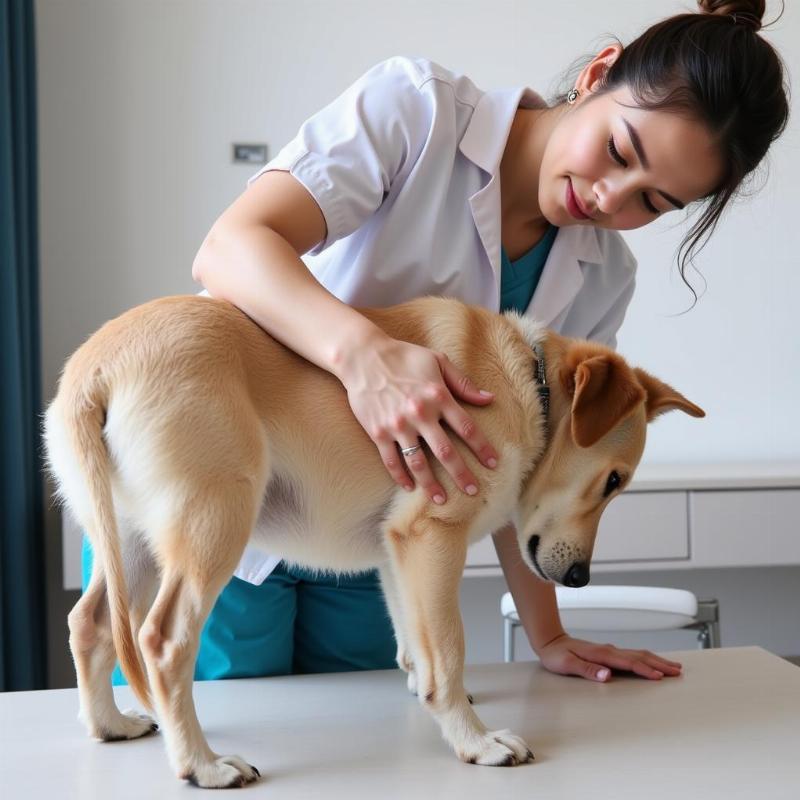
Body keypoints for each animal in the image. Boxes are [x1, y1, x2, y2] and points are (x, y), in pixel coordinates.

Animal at [47, 294, 704, 788]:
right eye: (614, 481)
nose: (579, 580)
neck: (526, 381)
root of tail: (96, 369)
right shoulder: (434, 536)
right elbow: (449, 647)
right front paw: (474, 740)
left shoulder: (398, 549)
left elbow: (416, 639)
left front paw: (429, 695)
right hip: (214, 525)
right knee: (162, 642)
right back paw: (202, 766)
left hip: (131, 543)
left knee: (91, 624)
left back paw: (109, 725)